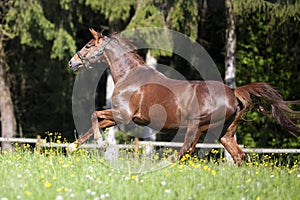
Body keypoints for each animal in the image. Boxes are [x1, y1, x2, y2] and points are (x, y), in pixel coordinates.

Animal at [68, 28, 300, 166]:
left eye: (88, 46)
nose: (72, 62)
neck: (130, 77)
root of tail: (234, 93)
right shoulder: (118, 117)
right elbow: (96, 123)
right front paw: (73, 146)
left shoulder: (122, 115)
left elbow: (94, 115)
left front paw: (100, 145)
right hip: (225, 133)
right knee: (239, 156)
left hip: (197, 125)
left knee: (186, 149)